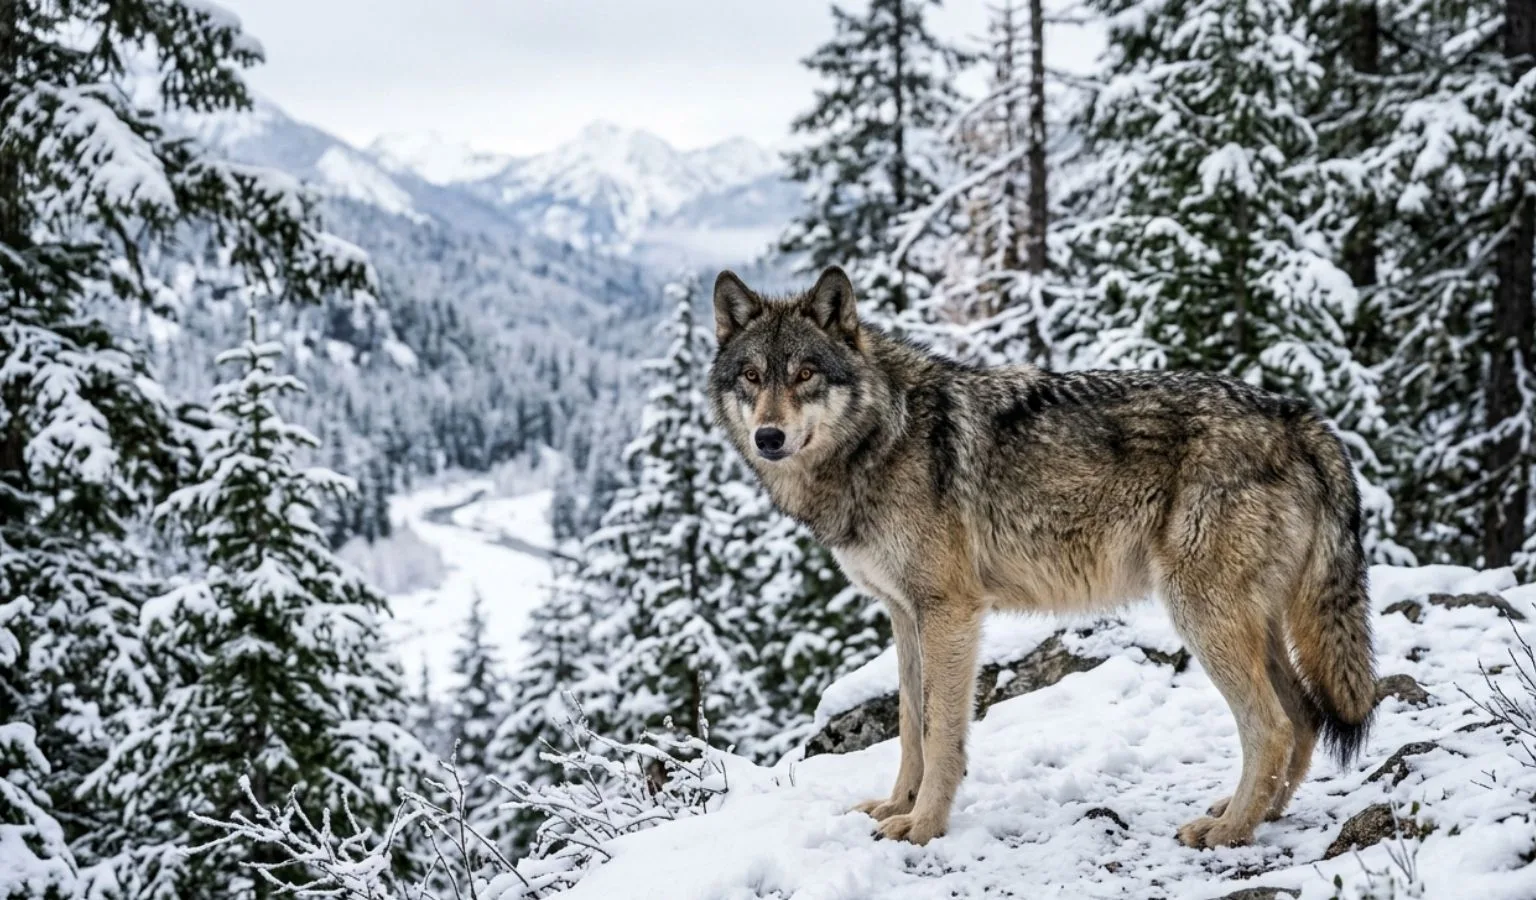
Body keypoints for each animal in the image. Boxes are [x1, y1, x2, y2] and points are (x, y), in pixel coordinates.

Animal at [706, 266, 1376, 849]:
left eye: (805, 373)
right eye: (753, 377)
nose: (769, 437)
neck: (882, 437)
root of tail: (1298, 417)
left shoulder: (949, 611)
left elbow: (940, 731)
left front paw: (923, 828)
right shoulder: (903, 614)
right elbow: (909, 727)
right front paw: (897, 806)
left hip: (1202, 616)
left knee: (1273, 727)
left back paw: (1228, 831)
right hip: (1249, 623)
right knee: (1304, 718)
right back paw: (1258, 815)